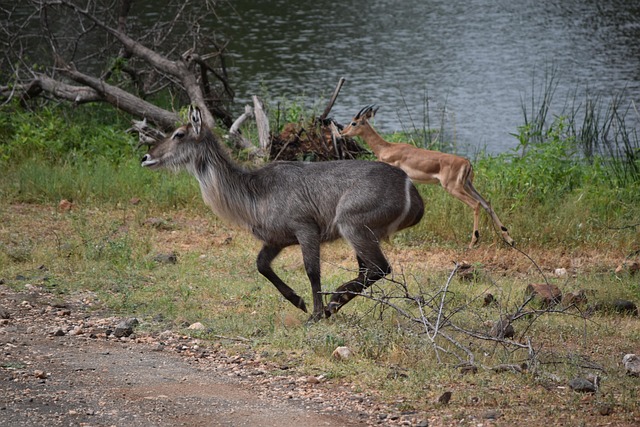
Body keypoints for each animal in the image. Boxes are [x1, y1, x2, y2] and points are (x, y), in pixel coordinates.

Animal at [141, 106, 424, 321]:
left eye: (178, 134)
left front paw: (315, 314)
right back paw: (336, 302)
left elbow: (312, 271)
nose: (145, 157)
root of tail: (412, 190)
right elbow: (261, 265)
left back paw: (334, 301)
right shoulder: (276, 239)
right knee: (367, 269)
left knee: (379, 267)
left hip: (352, 224)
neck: (253, 192)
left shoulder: (306, 228)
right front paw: (299, 302)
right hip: (361, 233)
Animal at [342, 105, 514, 249]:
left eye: (354, 123)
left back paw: (473, 242)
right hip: (468, 185)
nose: (342, 132)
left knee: (476, 204)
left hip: (453, 188)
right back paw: (509, 239)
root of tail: (467, 162)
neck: (386, 148)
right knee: (486, 203)